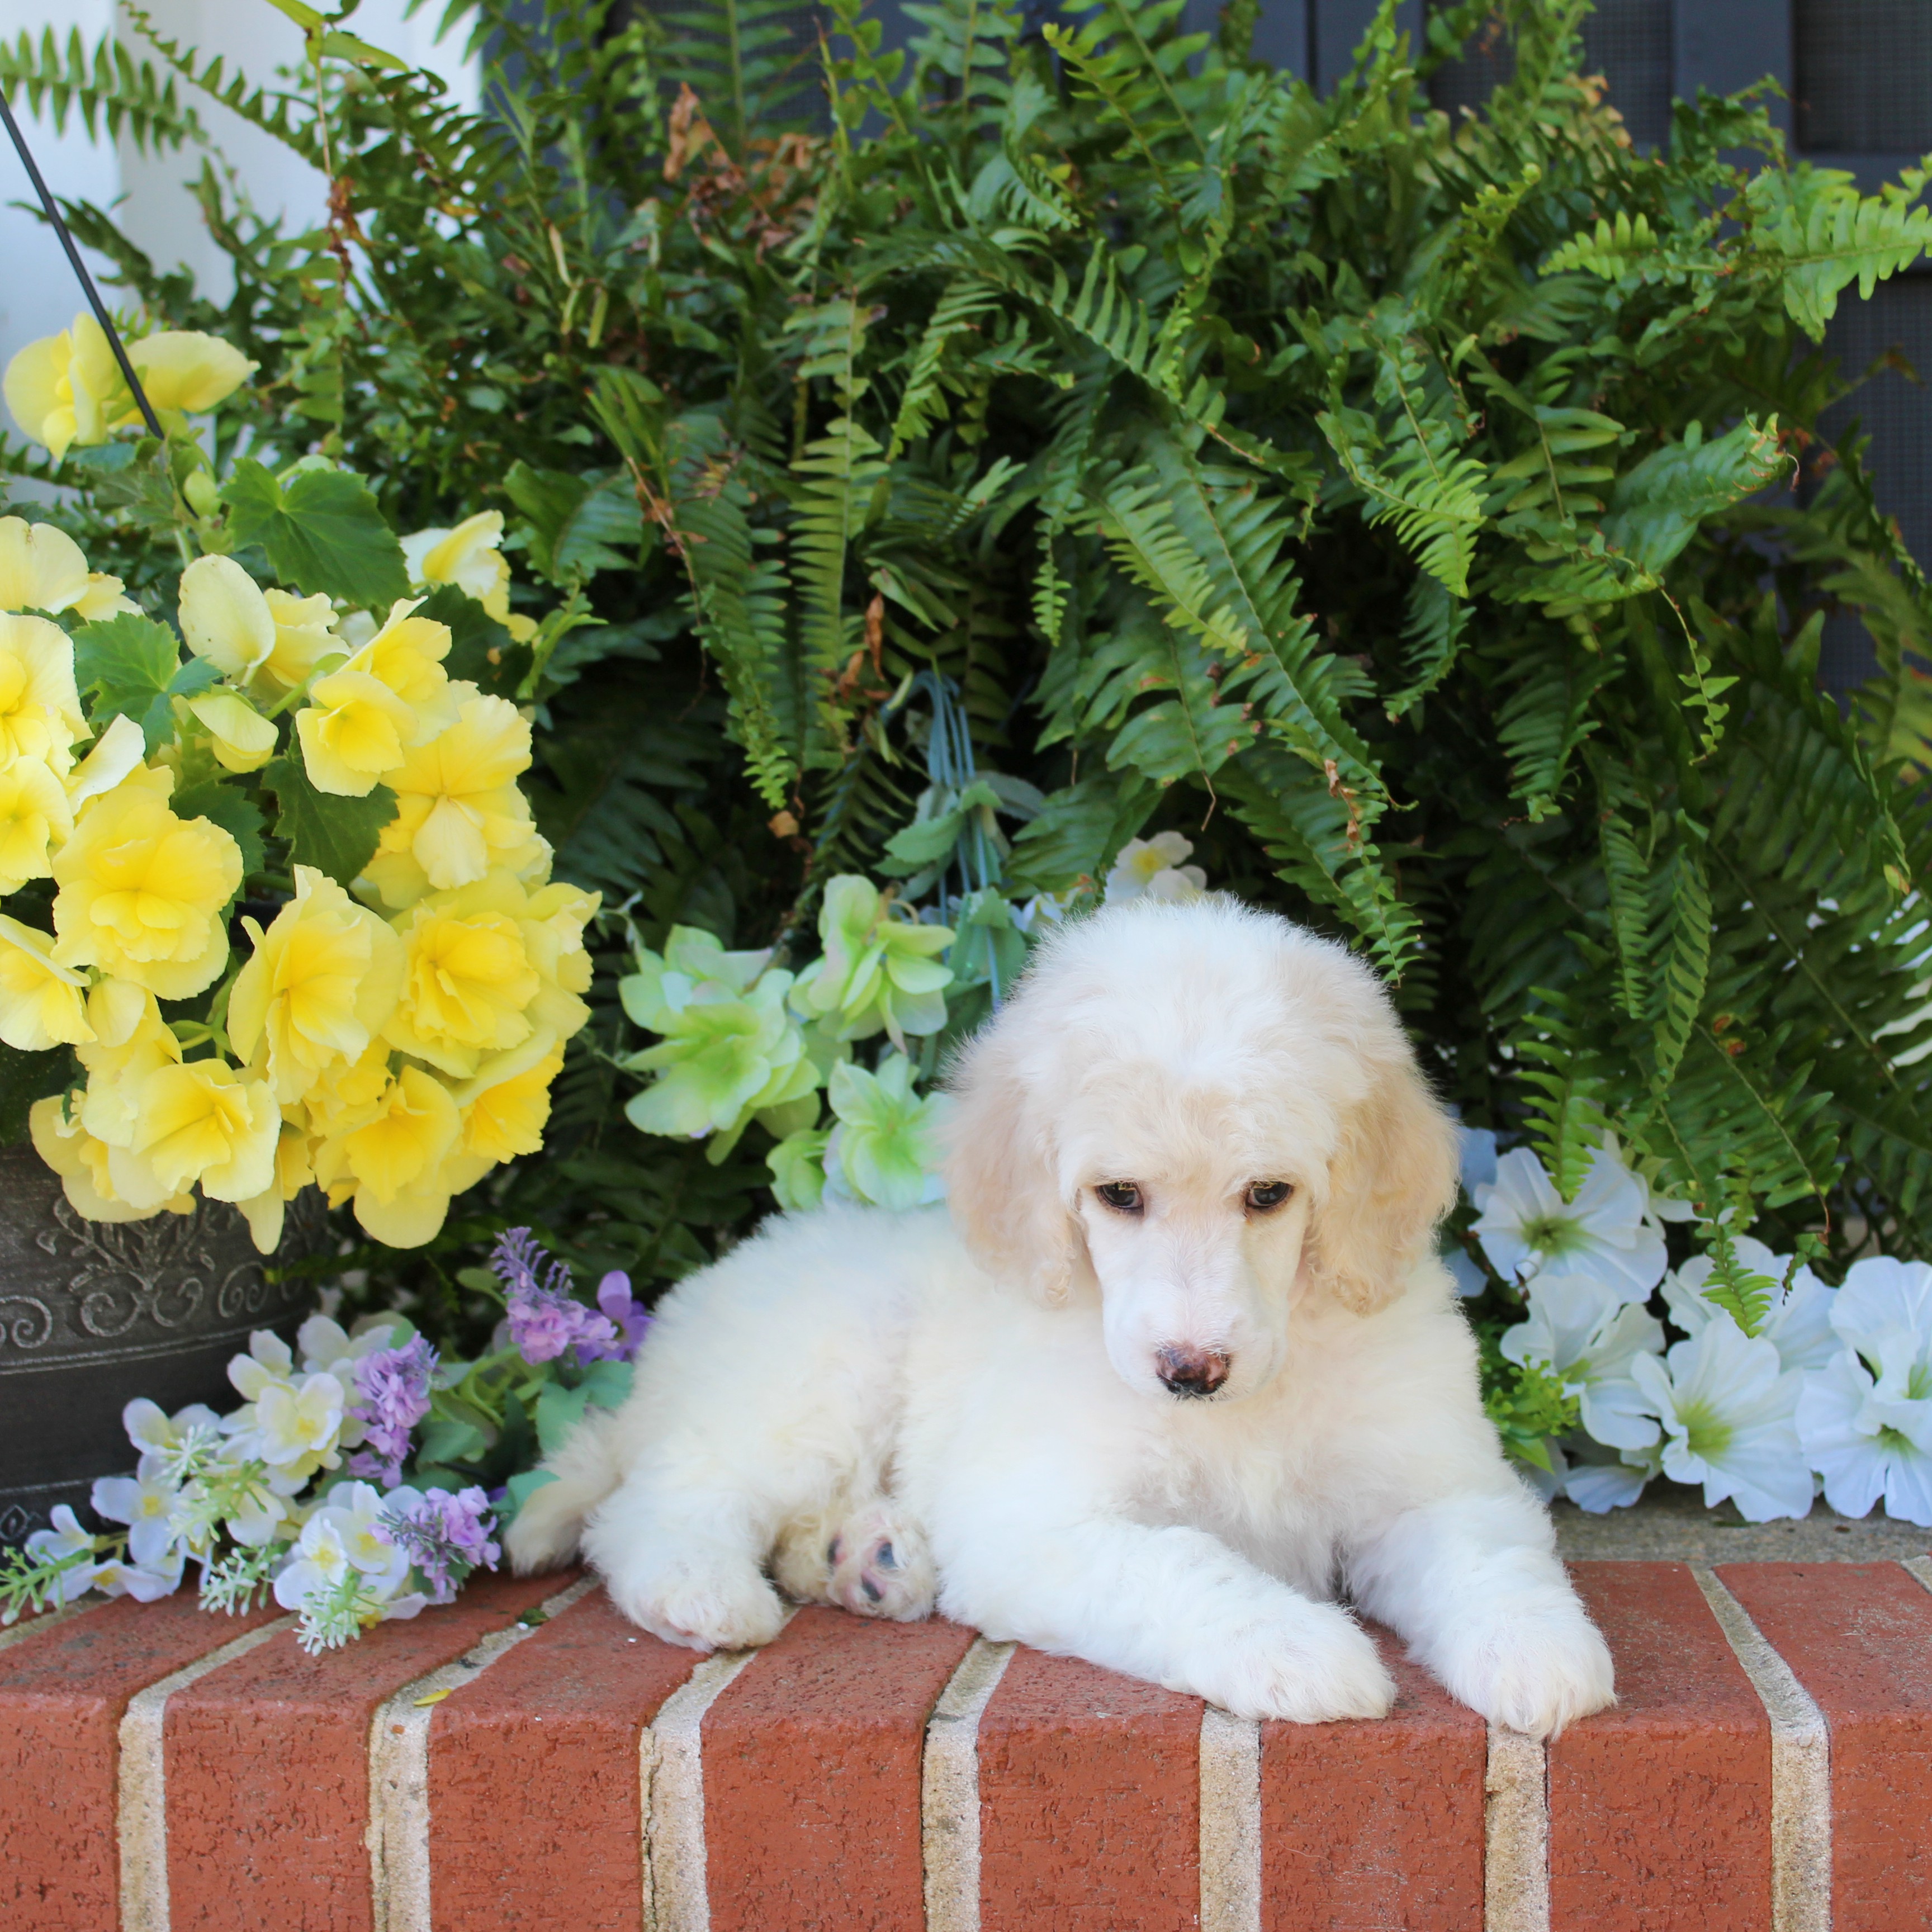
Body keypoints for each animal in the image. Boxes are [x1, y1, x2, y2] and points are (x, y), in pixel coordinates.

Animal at [510, 896, 1615, 1731]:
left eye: (1269, 1194)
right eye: (1118, 1195)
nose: (1190, 1369)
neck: (1245, 1409)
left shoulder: (1431, 1482)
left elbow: (1489, 1557)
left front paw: (1541, 1655)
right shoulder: (1038, 1520)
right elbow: (1183, 1566)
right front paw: (1300, 1649)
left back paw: (865, 1562)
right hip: (809, 1383)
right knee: (656, 1503)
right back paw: (706, 1588)